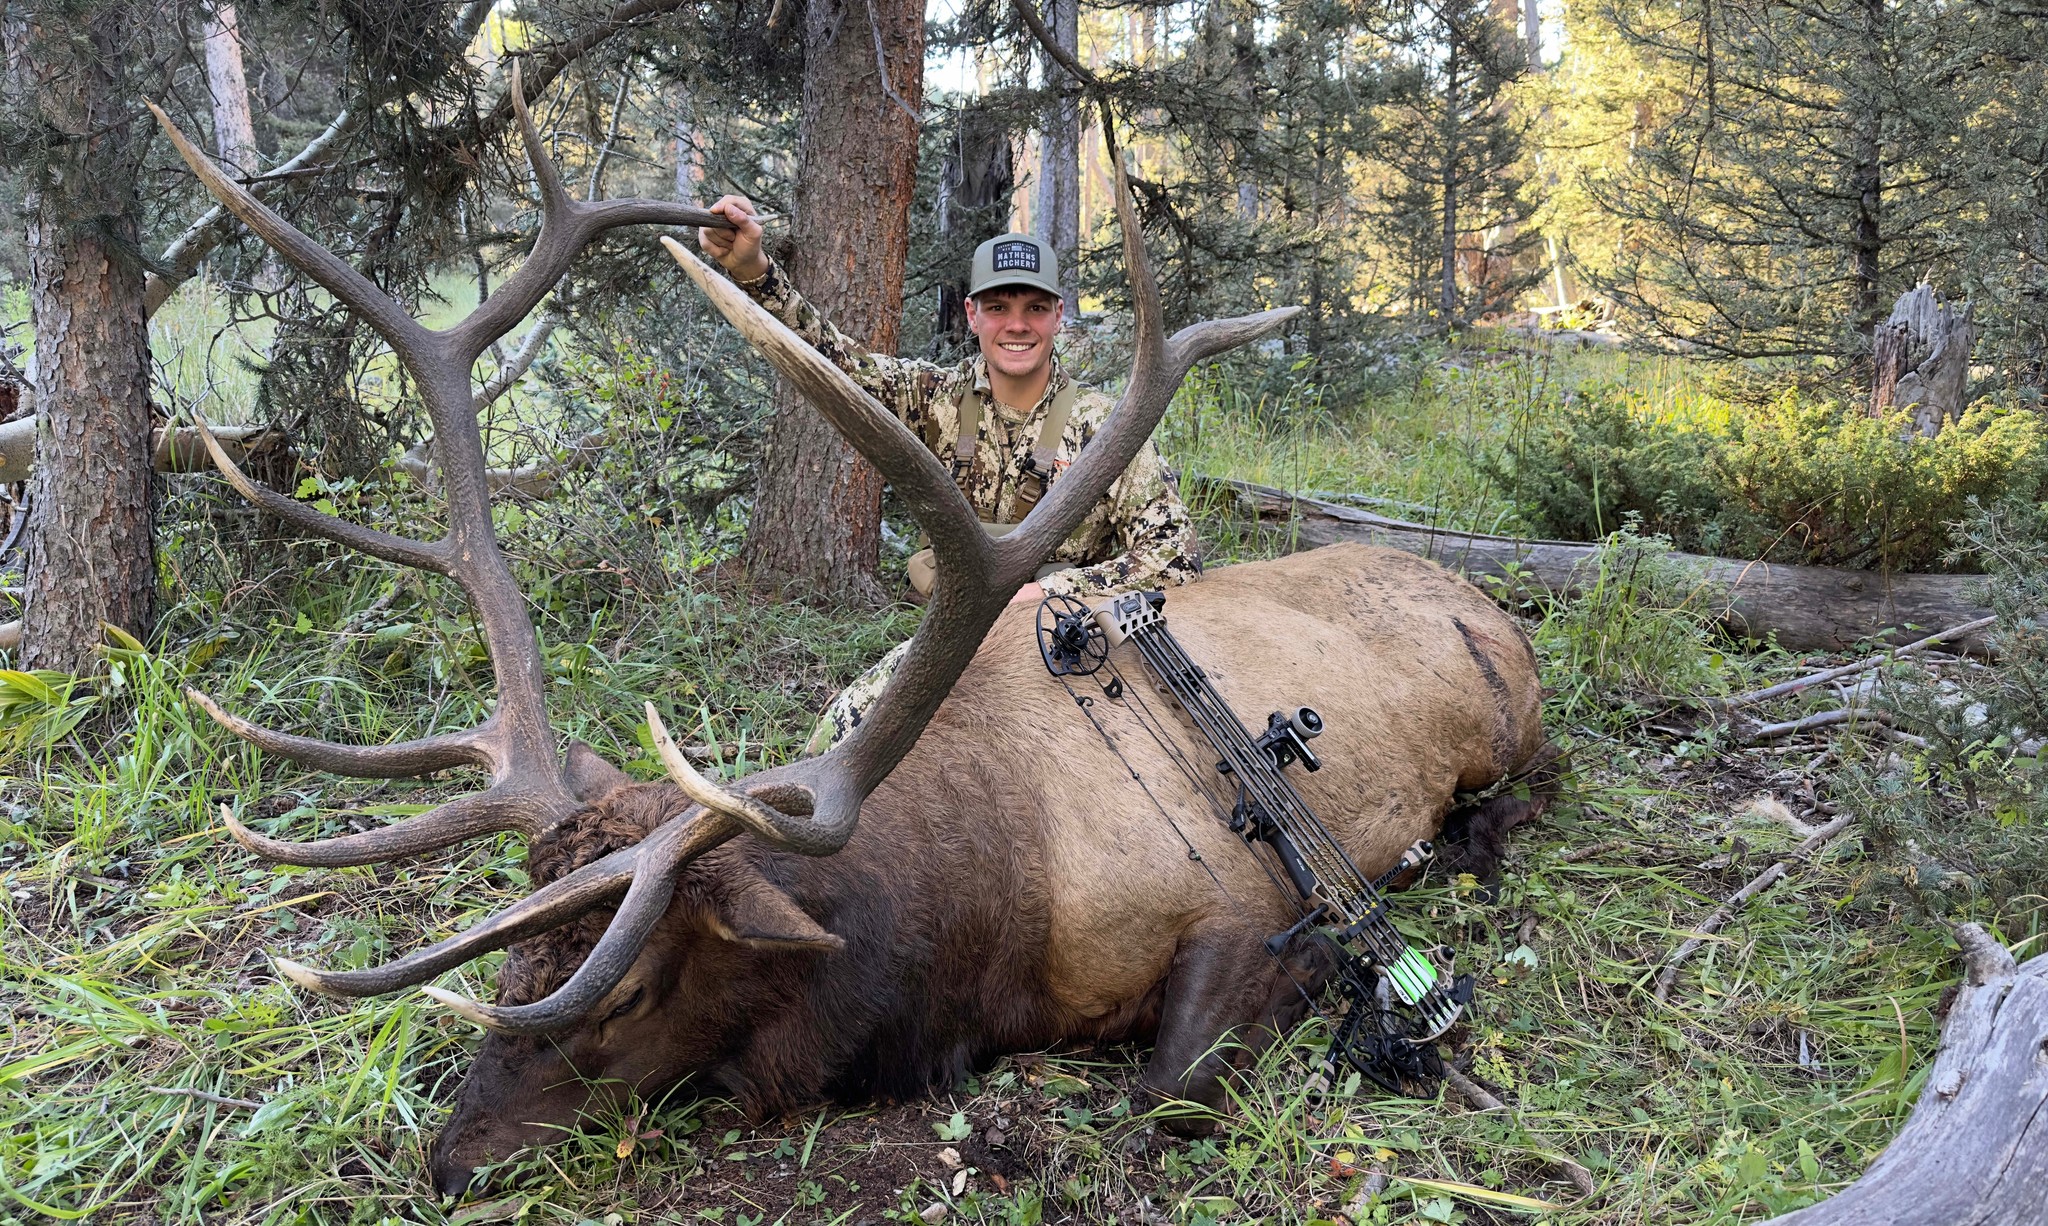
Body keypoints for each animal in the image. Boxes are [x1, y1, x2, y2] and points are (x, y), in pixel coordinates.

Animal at [153, 68, 1553, 1197]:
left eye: (632, 983)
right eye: (511, 957)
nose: (448, 1160)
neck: (969, 935)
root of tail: (1486, 598)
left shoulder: (1236, 902)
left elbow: (1173, 1083)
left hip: (1511, 719)